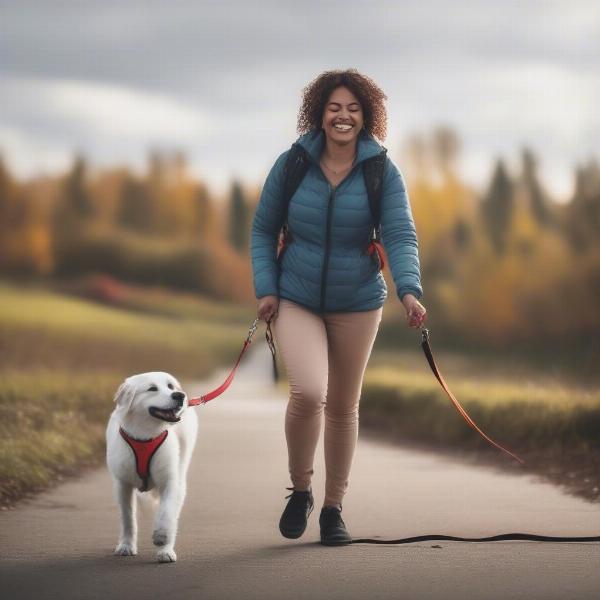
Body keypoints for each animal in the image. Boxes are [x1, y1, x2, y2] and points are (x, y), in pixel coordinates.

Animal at [106, 370, 198, 564]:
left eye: (170, 386)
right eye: (152, 389)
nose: (179, 395)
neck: (145, 435)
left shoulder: (170, 481)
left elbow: (166, 512)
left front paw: (162, 537)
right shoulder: (122, 484)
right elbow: (128, 519)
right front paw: (126, 546)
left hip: (181, 476)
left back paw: (166, 551)